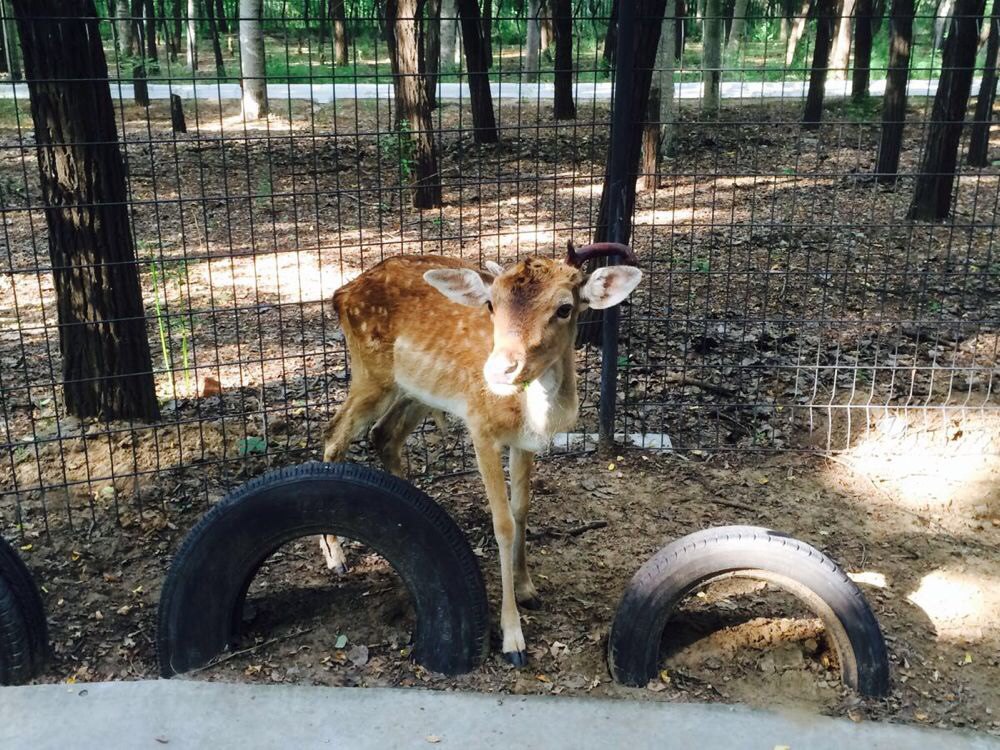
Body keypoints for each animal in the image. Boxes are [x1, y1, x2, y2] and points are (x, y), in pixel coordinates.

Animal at [324, 244, 644, 668]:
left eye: (564, 307)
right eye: (492, 304)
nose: (501, 369)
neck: (531, 413)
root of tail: (340, 294)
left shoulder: (523, 441)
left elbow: (522, 508)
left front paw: (528, 589)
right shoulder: (481, 428)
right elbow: (502, 523)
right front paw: (513, 639)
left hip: (415, 390)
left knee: (384, 434)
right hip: (370, 374)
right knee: (333, 436)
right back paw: (335, 557)